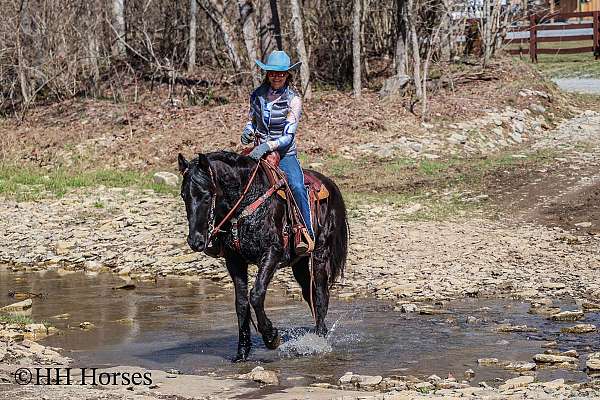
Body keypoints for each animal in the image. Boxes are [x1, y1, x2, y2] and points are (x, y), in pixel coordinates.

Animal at [177, 151, 346, 362]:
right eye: (184, 196)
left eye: (207, 197)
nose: (195, 241)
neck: (247, 202)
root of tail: (330, 184)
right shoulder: (234, 260)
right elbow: (241, 303)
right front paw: (242, 352)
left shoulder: (272, 253)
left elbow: (256, 294)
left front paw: (271, 336)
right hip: (299, 262)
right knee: (310, 292)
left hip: (320, 254)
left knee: (321, 293)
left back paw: (320, 340)